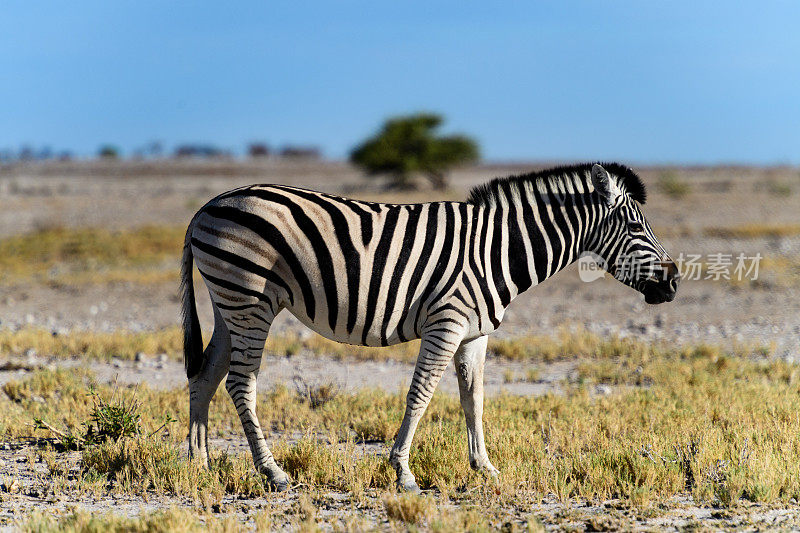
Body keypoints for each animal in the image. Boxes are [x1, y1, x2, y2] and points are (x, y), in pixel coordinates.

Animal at [183, 161, 680, 490]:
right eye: (637, 227)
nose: (674, 281)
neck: (498, 250)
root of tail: (207, 205)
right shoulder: (447, 322)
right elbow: (420, 394)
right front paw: (403, 472)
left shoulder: (475, 334)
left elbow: (473, 400)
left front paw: (485, 467)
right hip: (251, 298)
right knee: (241, 382)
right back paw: (272, 472)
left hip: (230, 302)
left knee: (205, 374)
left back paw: (198, 464)